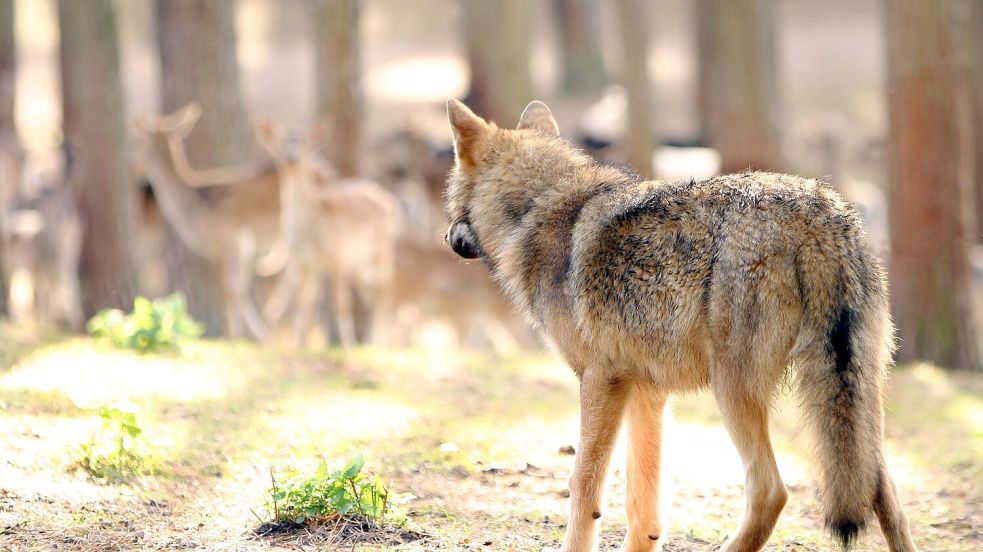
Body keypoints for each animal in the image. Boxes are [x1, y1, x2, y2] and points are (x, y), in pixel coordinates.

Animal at [442, 99, 917, 552]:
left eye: (449, 199)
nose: (446, 238)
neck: (540, 210)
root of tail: (819, 213)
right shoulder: (647, 391)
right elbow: (643, 501)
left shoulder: (599, 379)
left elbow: (584, 483)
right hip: (857, 407)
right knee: (885, 493)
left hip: (733, 392)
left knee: (772, 492)